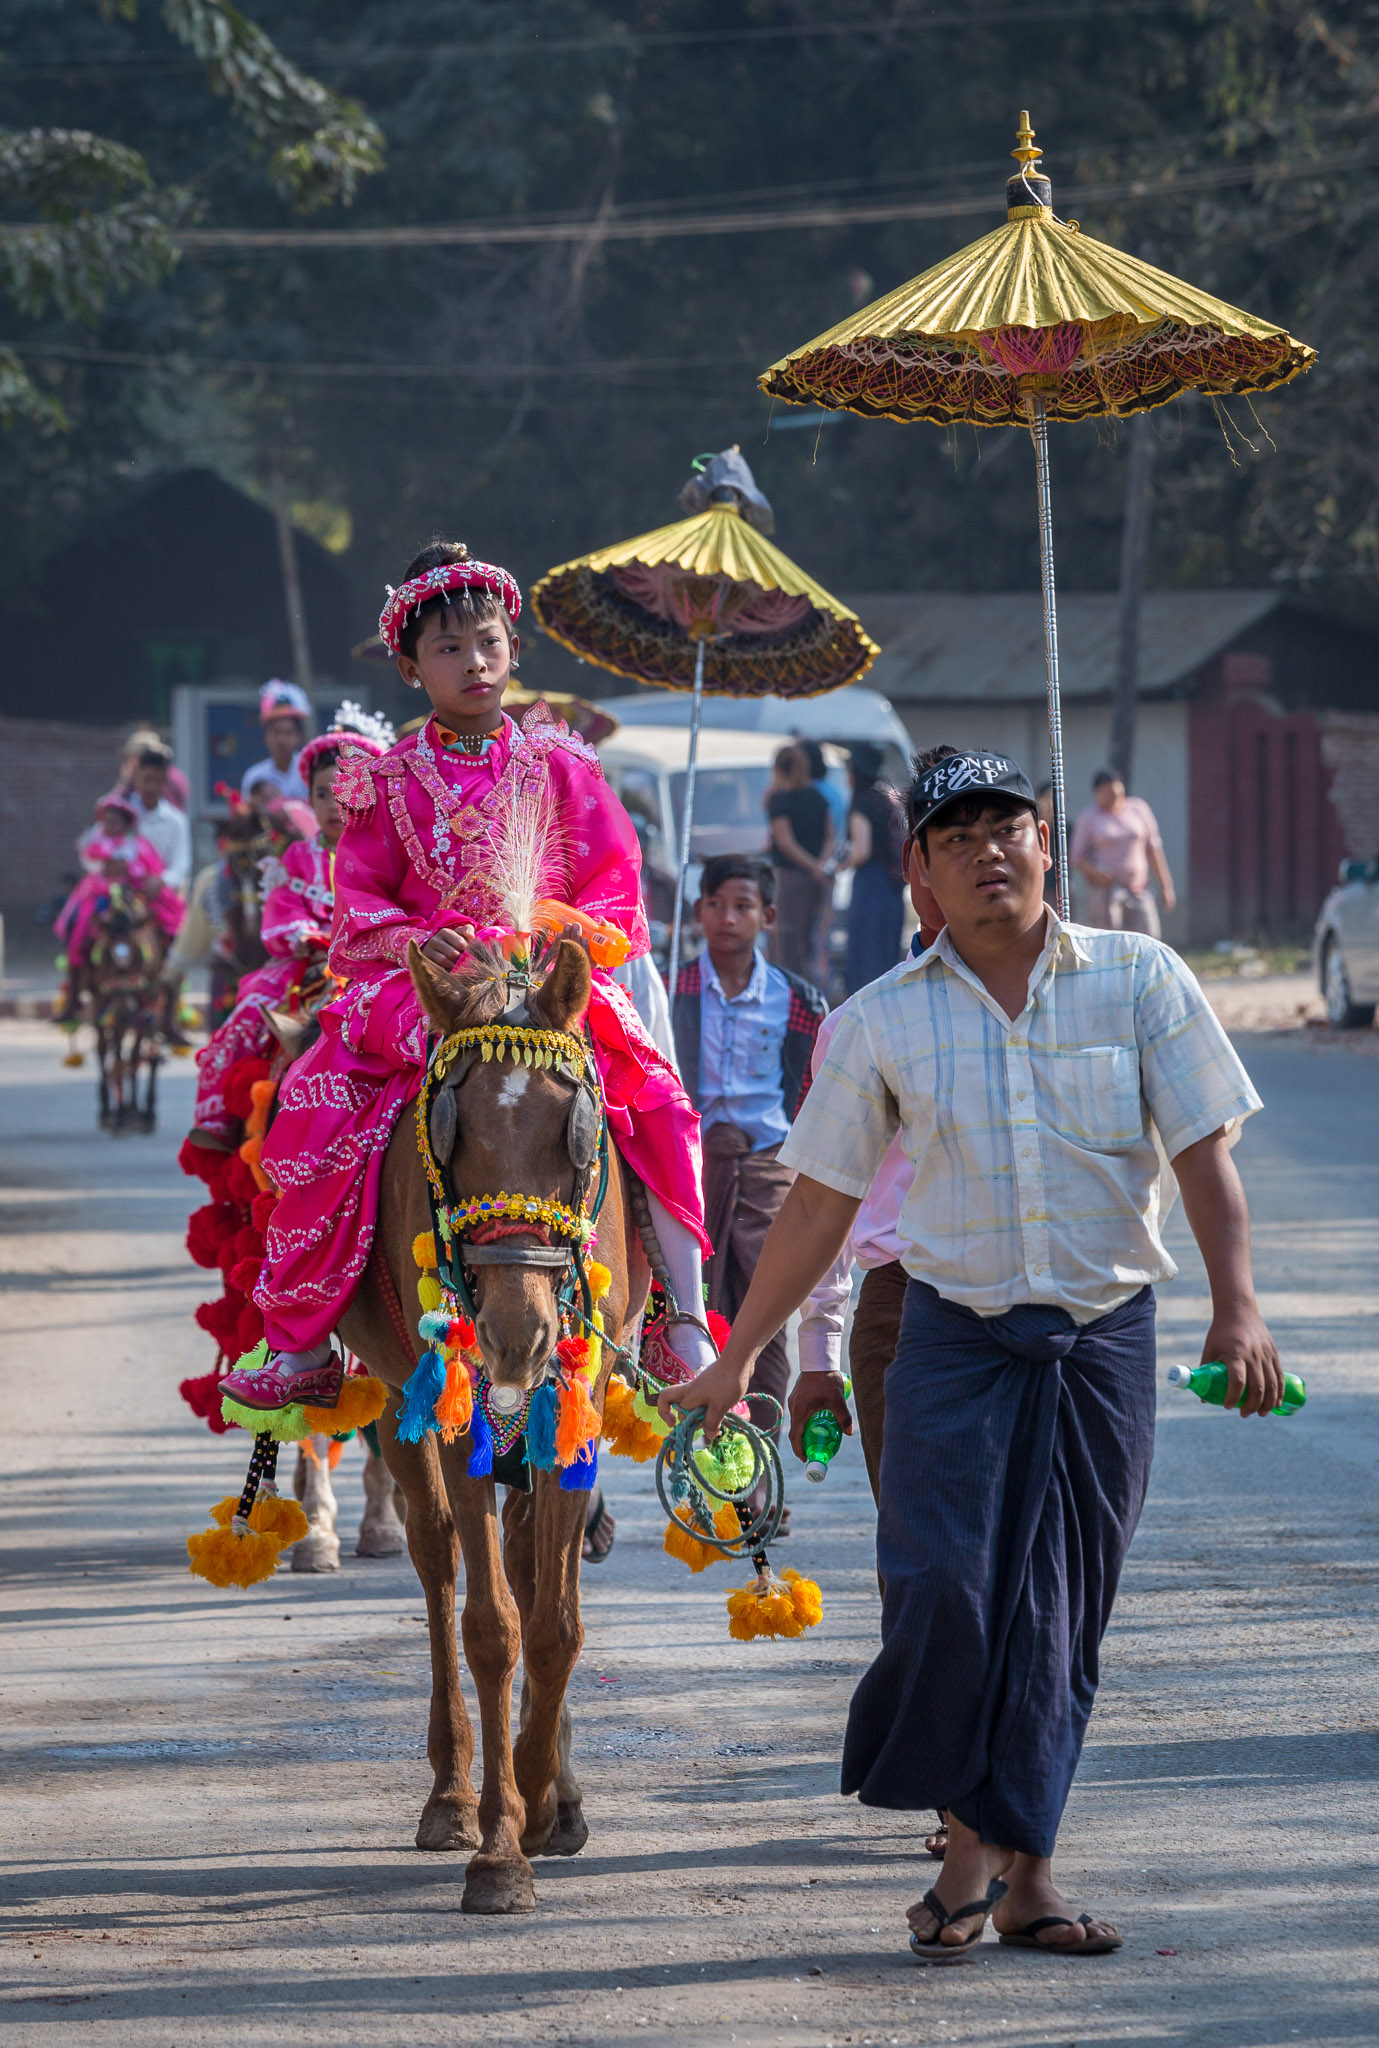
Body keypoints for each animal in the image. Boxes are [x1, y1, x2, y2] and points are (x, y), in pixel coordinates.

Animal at [338, 937, 651, 1908]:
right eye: (452, 1132)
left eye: (574, 1130)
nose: (516, 1334)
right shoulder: (455, 1411)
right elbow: (492, 1626)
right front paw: (501, 1842)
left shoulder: (571, 1398)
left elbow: (553, 1625)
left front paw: (544, 1799)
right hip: (401, 1389)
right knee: (439, 1559)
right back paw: (451, 1793)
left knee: (524, 1563)